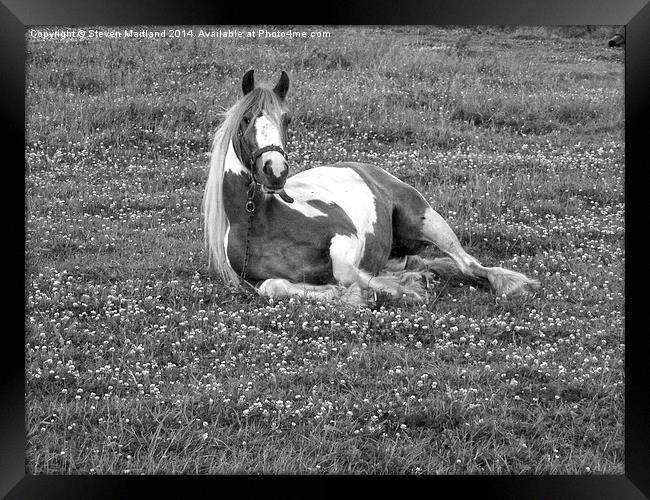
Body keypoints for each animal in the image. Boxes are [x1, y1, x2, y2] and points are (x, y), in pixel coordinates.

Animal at [201, 69, 536, 304]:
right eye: (246, 120)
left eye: (287, 119)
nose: (275, 171)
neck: (260, 221)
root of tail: (372, 169)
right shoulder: (253, 282)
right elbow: (274, 286)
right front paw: (337, 294)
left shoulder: (345, 236)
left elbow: (346, 273)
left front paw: (402, 291)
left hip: (427, 221)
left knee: (469, 265)